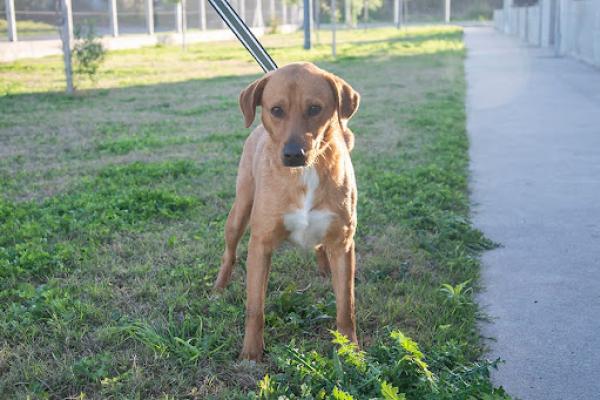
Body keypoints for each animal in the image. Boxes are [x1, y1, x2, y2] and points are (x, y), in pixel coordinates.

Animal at [213, 62, 358, 362]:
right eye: (276, 109)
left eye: (315, 108)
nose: (294, 154)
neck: (305, 173)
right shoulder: (260, 244)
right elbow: (255, 308)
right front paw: (251, 353)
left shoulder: (343, 243)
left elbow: (346, 306)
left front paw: (351, 350)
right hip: (239, 211)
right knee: (229, 253)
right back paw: (219, 287)